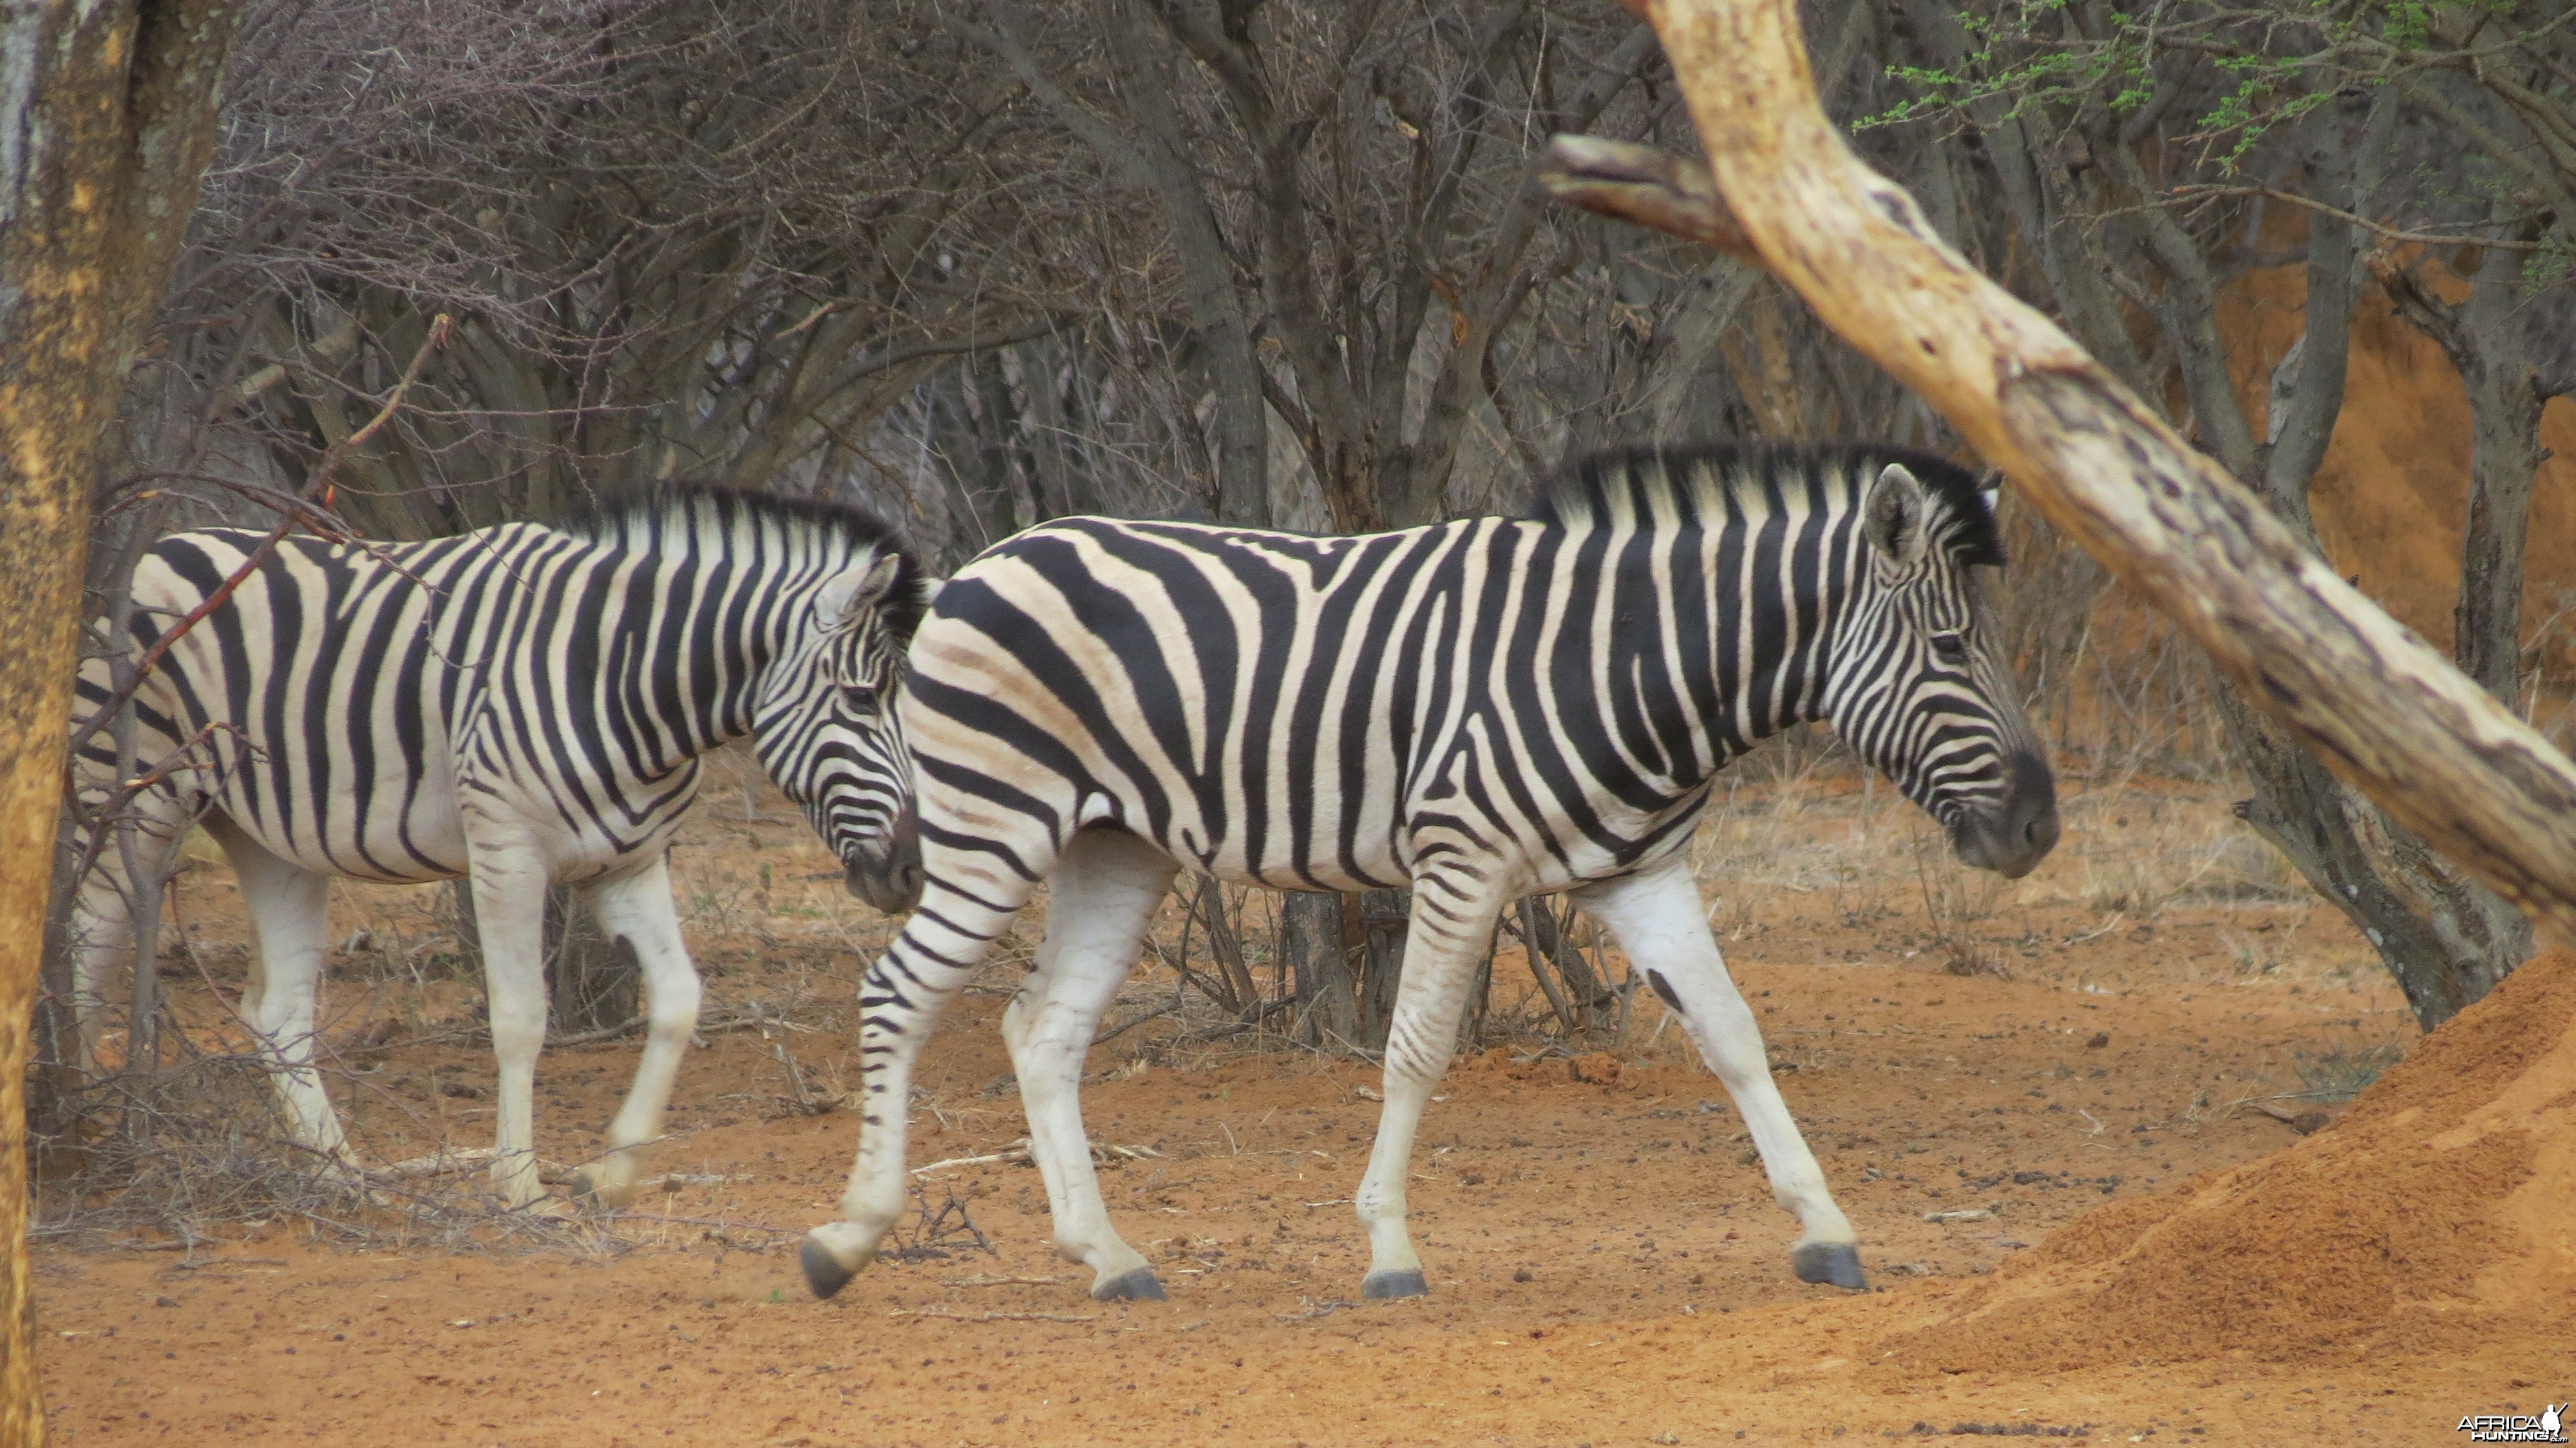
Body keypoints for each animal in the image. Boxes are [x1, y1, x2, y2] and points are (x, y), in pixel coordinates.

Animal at [68, 484, 938, 1206]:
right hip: (131, 796)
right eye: (863, 699)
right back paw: (79, 1132)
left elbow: (680, 1001)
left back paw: (340, 1176)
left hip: (270, 840)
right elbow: (521, 1017)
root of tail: (163, 543)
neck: (628, 681)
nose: (910, 872)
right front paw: (519, 1183)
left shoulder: (629, 864)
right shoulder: (507, 851)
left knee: (276, 1012)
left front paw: (613, 1170)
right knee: (86, 958)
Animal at [793, 438, 2061, 1299]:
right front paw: (1390, 1249)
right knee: (897, 993)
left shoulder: (1640, 874)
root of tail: (988, 558)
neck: (1627, 662)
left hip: (1116, 849)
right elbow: (1415, 1049)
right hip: (994, 821)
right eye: (1953, 647)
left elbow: (1735, 1032)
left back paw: (1108, 1257)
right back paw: (847, 1239)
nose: (2040, 830)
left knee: (1040, 1030)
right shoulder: (1462, 857)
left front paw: (1826, 1226)